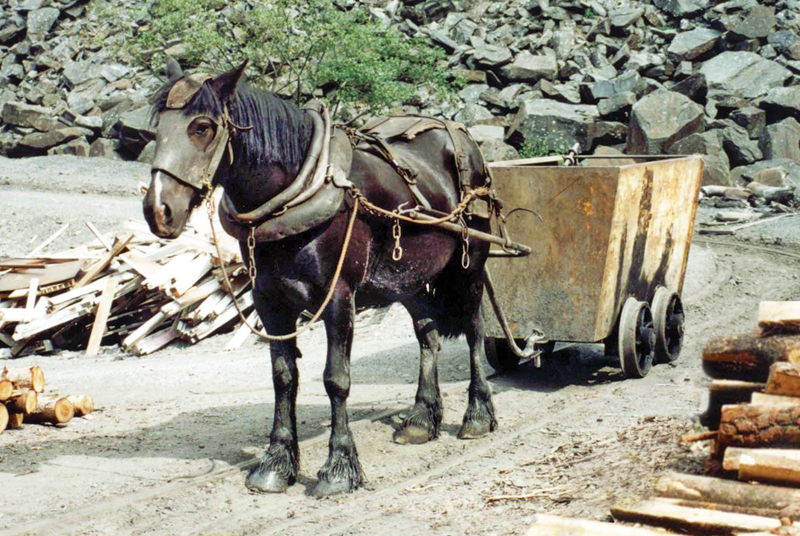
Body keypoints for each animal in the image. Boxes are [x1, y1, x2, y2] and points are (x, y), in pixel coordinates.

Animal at [143, 59, 497, 497]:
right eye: (157, 128)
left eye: (202, 127)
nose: (158, 210)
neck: (296, 194)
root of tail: (464, 139)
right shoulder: (270, 303)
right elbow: (283, 377)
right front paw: (276, 463)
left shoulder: (339, 300)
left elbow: (336, 379)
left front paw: (340, 466)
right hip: (410, 277)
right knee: (427, 334)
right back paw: (419, 418)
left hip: (470, 265)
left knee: (474, 330)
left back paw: (477, 414)